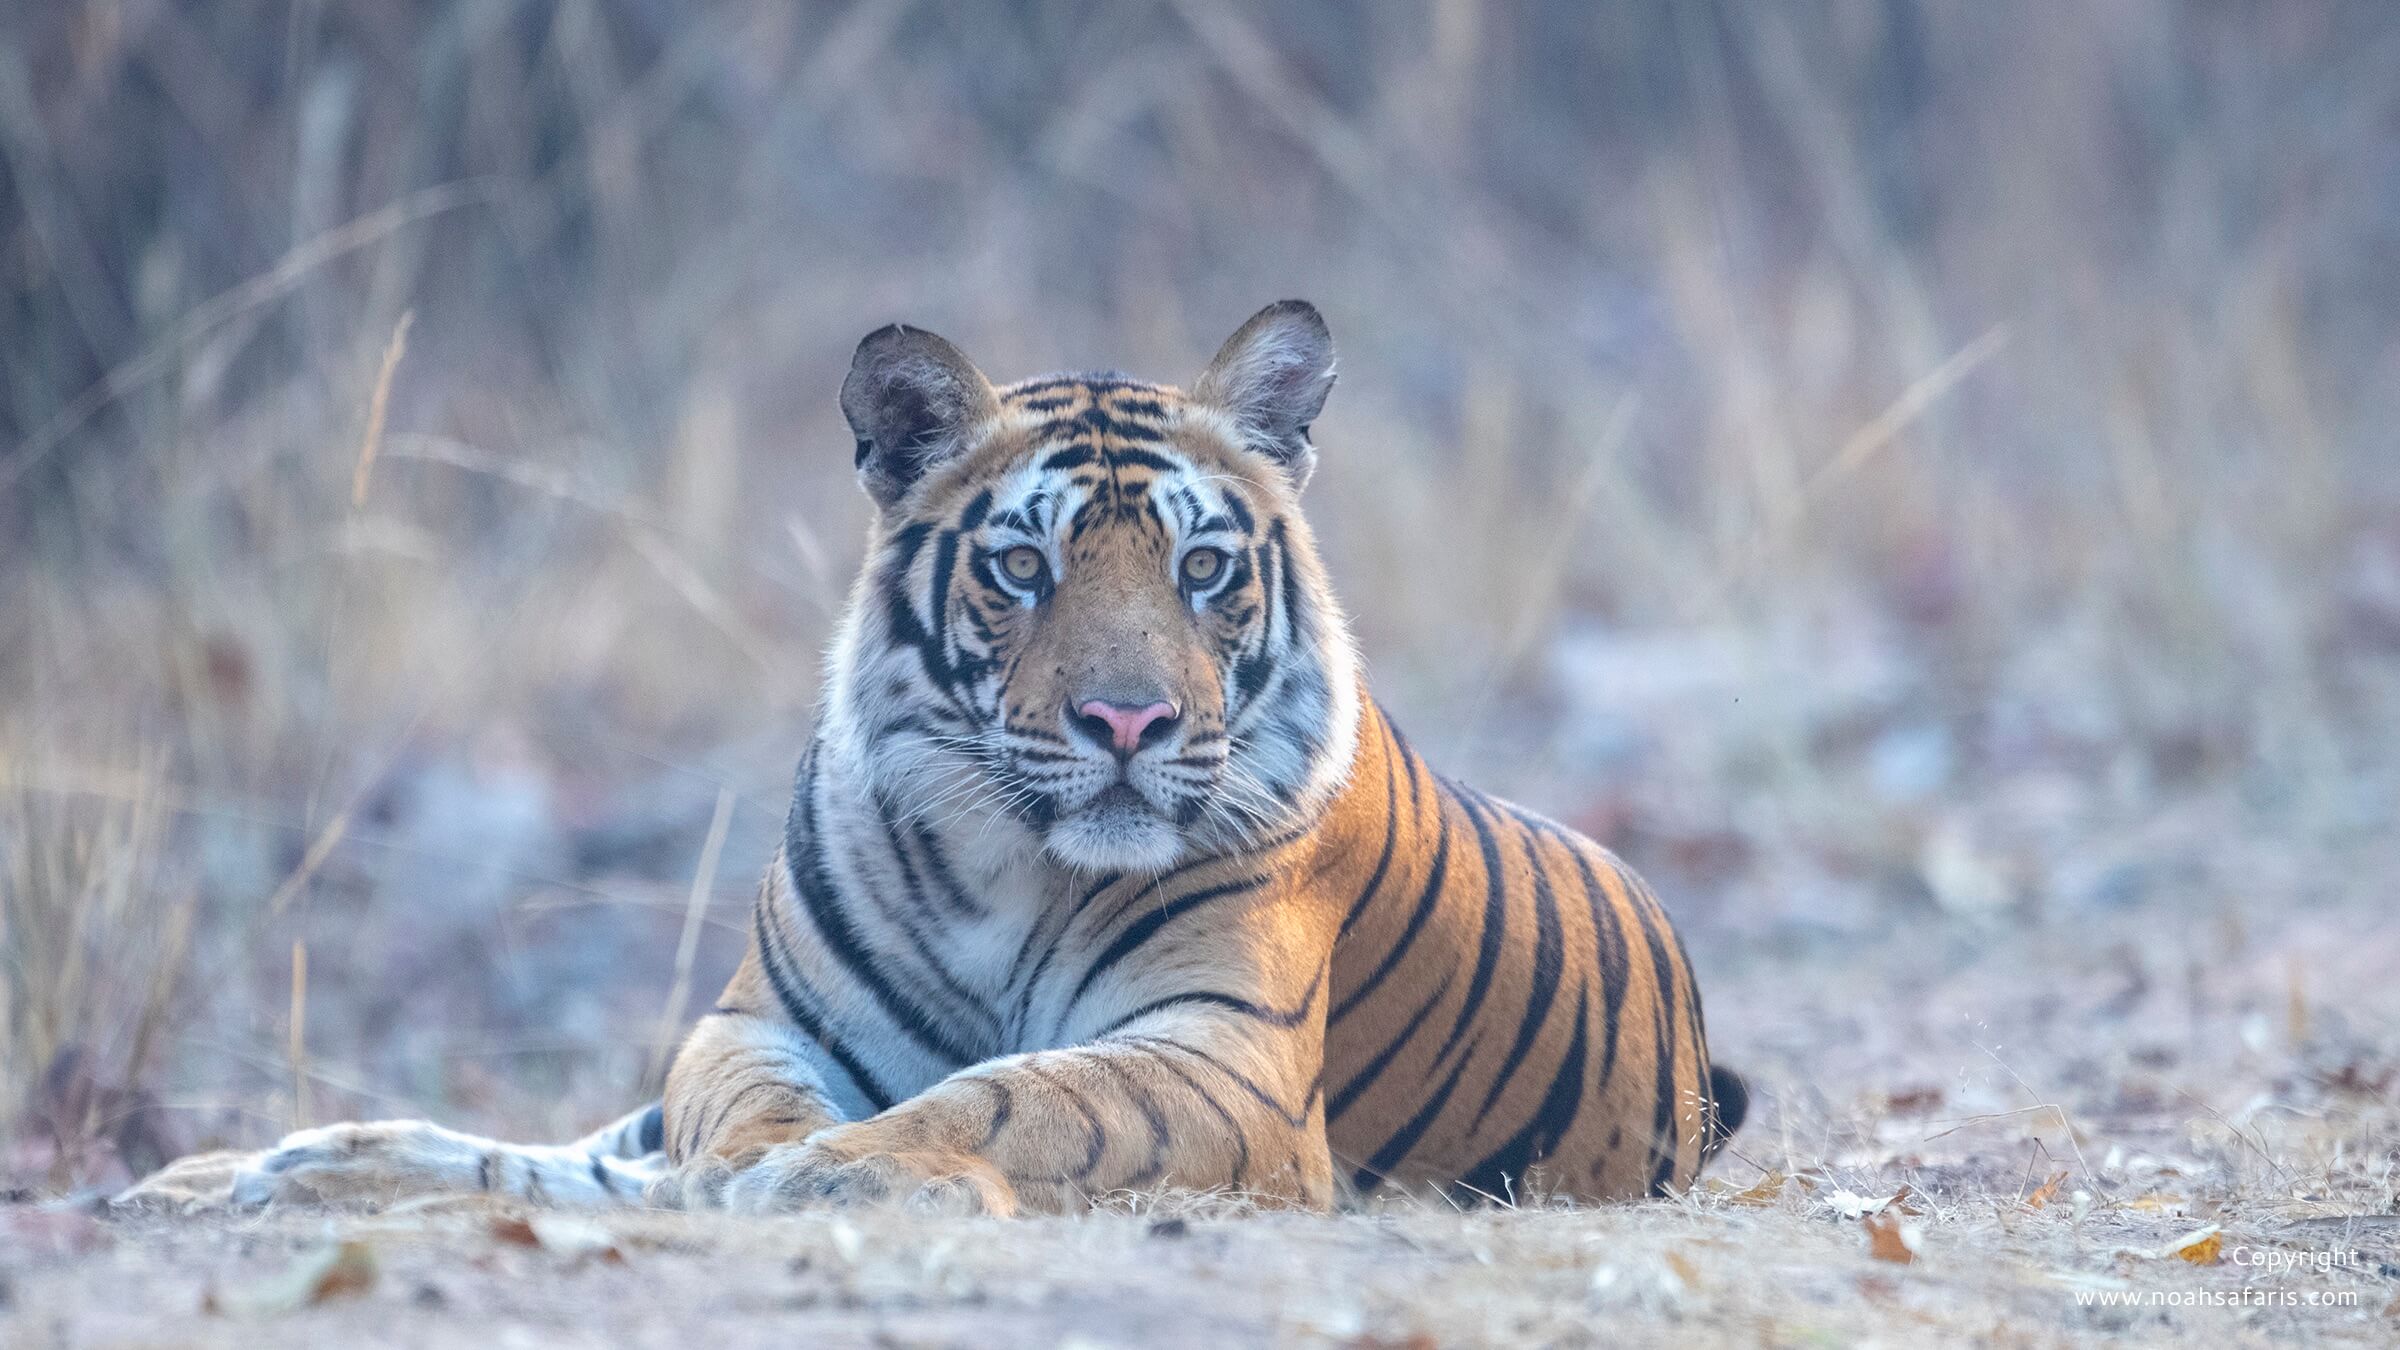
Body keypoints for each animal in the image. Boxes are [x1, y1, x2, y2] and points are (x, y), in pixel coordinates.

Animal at [121, 301, 1744, 1217]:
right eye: (1025, 567)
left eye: (1203, 567)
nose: (1129, 725)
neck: (1007, 870)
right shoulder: (756, 1022)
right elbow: (728, 1112)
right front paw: (766, 1162)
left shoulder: (1219, 1062)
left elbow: (1025, 1094)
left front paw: (841, 1169)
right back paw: (234, 1174)